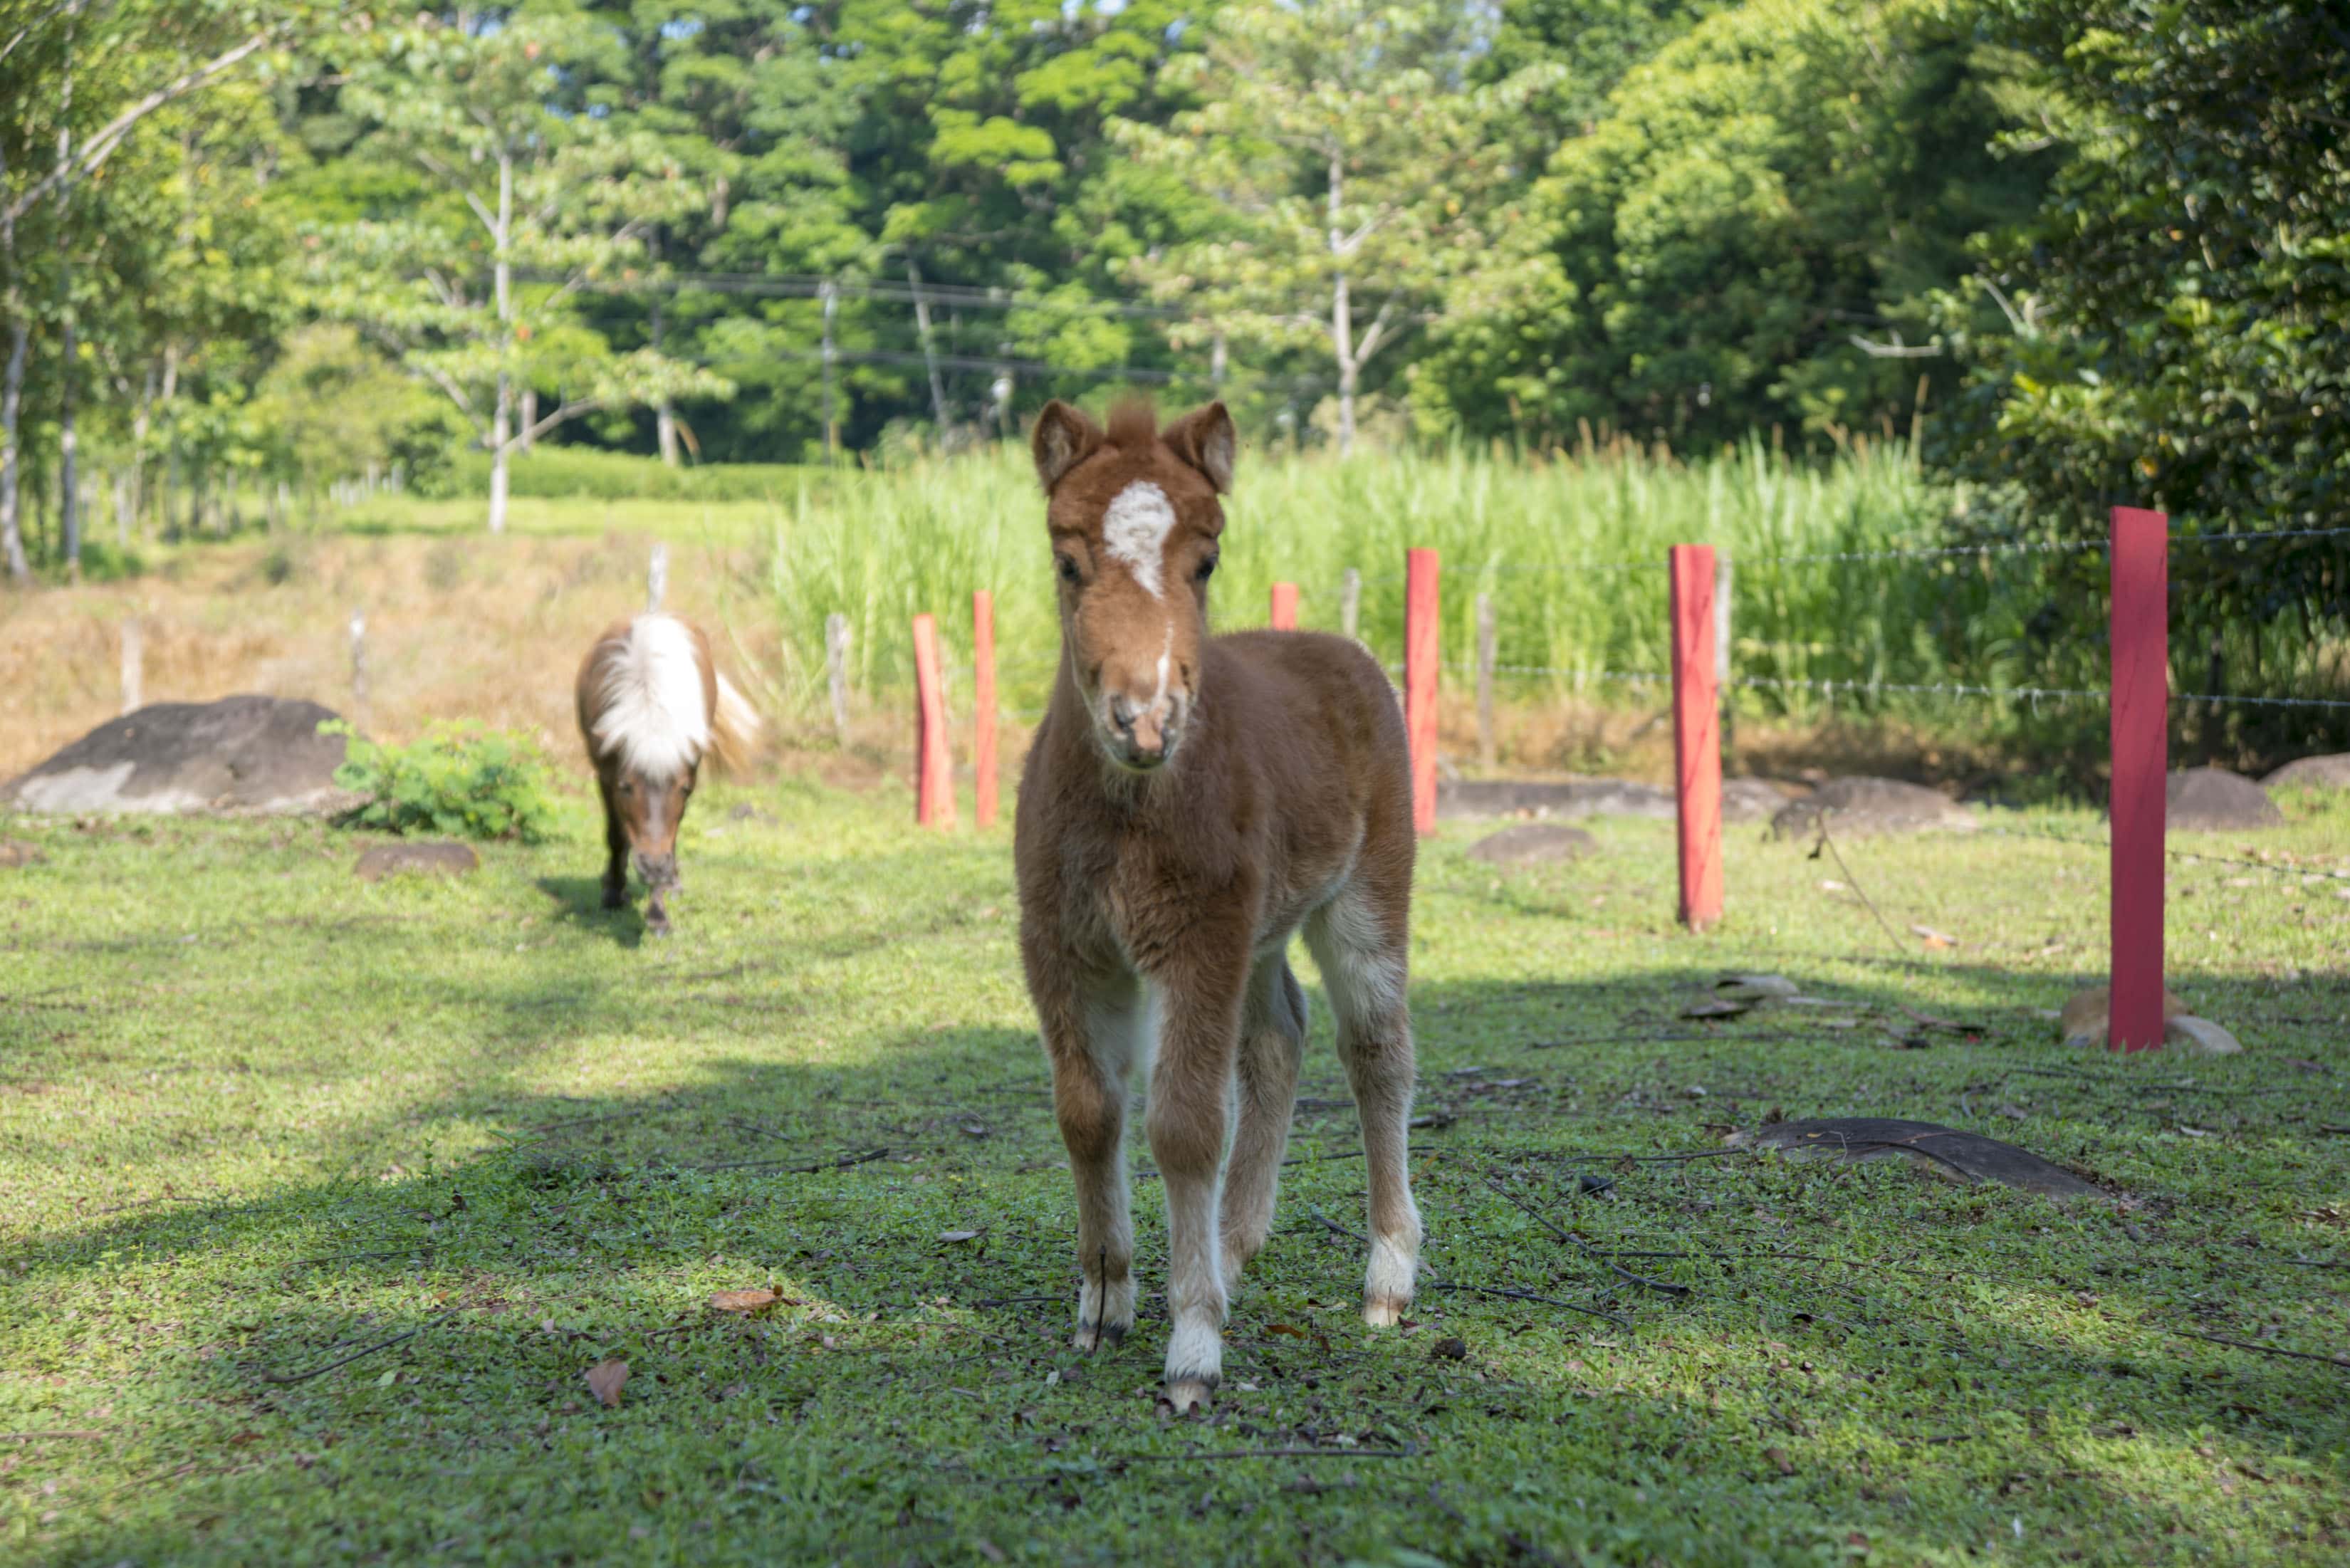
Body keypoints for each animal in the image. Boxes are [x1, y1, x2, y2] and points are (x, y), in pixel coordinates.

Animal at [1010, 399, 1410, 1420]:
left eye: (1208, 560)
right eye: (1066, 560)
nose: (1145, 718)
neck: (1126, 809)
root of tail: (1340, 648)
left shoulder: (1198, 940)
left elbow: (1186, 1125)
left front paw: (1193, 1349)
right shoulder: (1063, 944)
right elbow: (1087, 1111)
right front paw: (1104, 1301)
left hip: (1365, 892)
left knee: (1376, 1053)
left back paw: (1388, 1280)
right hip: (1259, 932)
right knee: (1278, 1036)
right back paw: (1231, 1251)